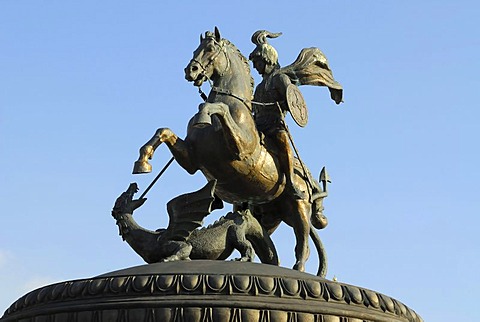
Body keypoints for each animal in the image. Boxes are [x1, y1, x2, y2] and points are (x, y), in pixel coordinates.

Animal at [133, 27, 328, 276]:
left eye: (210, 49)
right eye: (196, 49)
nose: (191, 70)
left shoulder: (240, 150)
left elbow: (215, 107)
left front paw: (203, 114)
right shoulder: (191, 161)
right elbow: (163, 131)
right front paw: (142, 162)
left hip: (298, 208)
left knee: (302, 239)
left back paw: (299, 266)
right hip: (268, 215)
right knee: (267, 246)